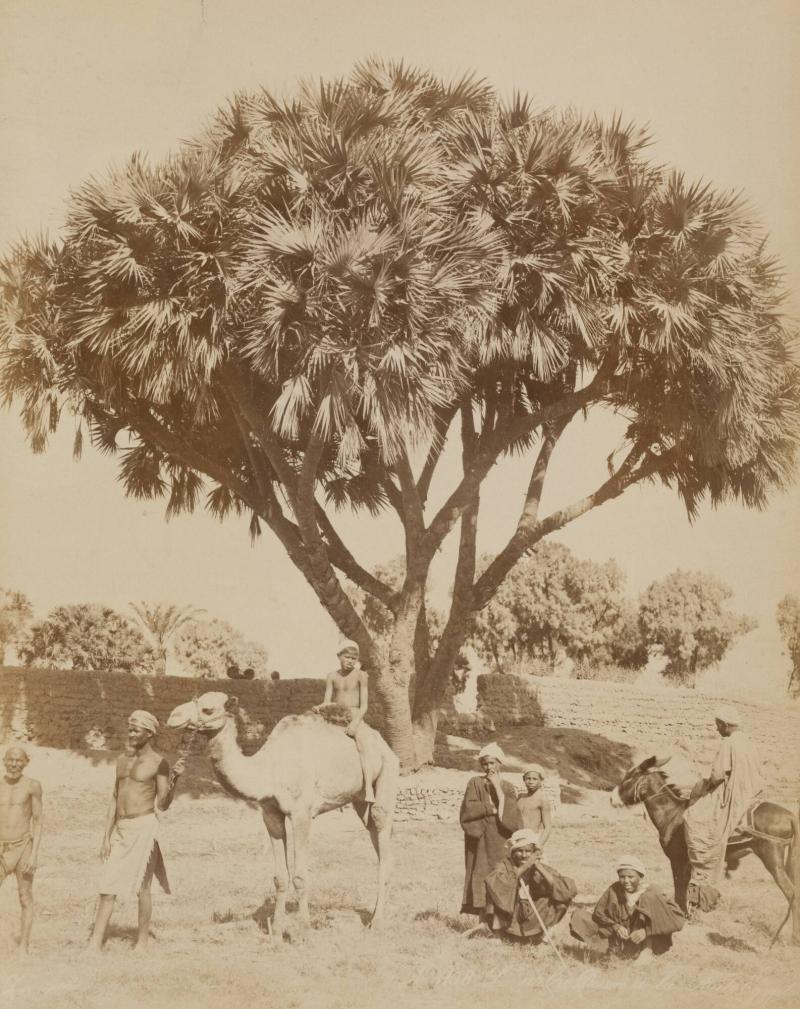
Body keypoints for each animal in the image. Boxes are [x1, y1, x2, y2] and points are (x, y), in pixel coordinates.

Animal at [167, 690, 397, 932]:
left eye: (208, 709)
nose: (173, 716)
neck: (269, 770)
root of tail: (385, 746)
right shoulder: (270, 813)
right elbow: (279, 877)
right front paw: (277, 928)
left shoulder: (301, 813)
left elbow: (299, 876)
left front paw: (303, 927)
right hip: (360, 799)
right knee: (376, 837)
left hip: (386, 773)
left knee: (381, 826)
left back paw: (377, 922)